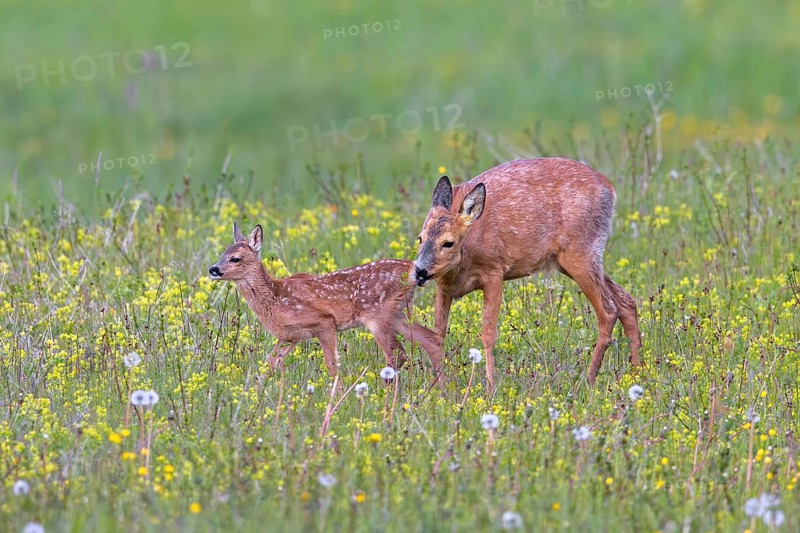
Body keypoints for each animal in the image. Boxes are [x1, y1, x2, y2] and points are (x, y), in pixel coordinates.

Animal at [208, 222, 442, 380]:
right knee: (431, 340)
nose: (213, 269)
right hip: (397, 313)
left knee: (397, 355)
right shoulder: (290, 336)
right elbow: (270, 363)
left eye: (235, 258)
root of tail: (412, 269)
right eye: (222, 254)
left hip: (377, 314)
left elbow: (332, 364)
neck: (276, 300)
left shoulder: (324, 322)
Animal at [412, 158, 642, 393]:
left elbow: (488, 334)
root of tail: (609, 188)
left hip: (581, 253)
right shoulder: (443, 287)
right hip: (570, 261)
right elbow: (437, 334)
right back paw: (636, 372)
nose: (420, 272)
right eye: (420, 238)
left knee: (608, 310)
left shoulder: (494, 272)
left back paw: (589, 379)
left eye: (448, 242)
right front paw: (437, 387)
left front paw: (490, 388)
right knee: (626, 300)